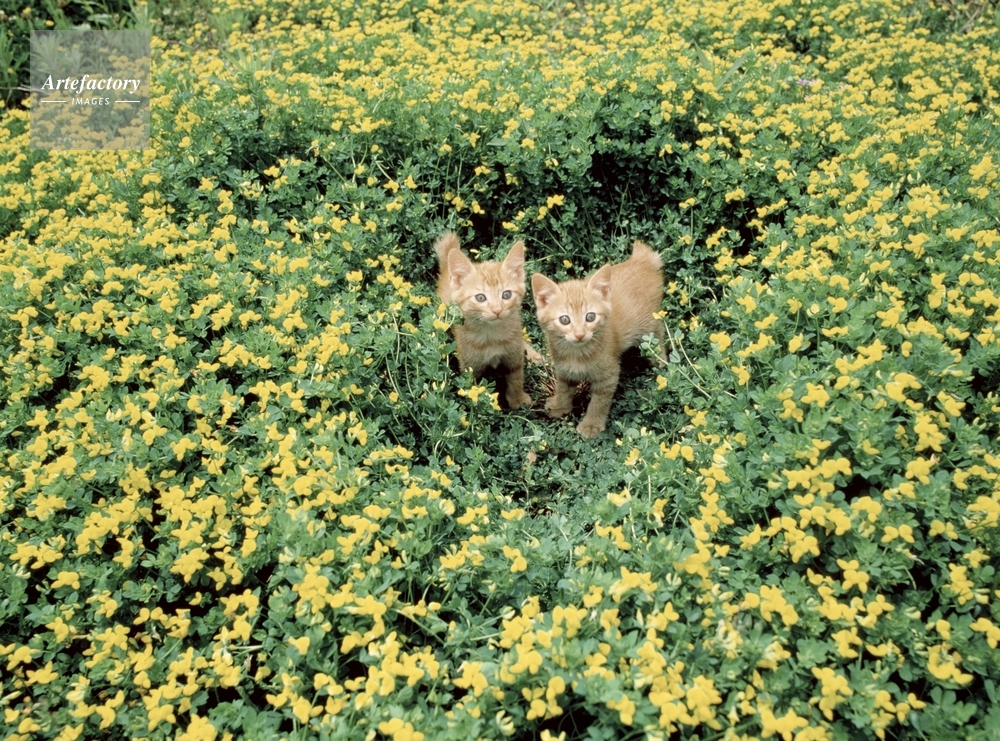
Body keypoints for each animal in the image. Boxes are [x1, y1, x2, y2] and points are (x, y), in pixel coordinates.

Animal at [435, 232, 541, 409]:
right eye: (480, 298)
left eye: (506, 295)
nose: (497, 310)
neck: (491, 336)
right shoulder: (469, 366)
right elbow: (472, 387)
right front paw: (477, 408)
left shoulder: (513, 357)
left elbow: (516, 378)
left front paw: (517, 399)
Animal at [532, 240, 665, 438]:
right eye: (564, 320)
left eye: (590, 317)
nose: (579, 334)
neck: (576, 353)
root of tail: (641, 260)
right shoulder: (564, 370)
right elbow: (563, 389)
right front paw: (560, 406)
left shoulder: (608, 375)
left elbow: (599, 402)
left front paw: (591, 425)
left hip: (649, 327)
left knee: (659, 334)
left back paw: (662, 361)